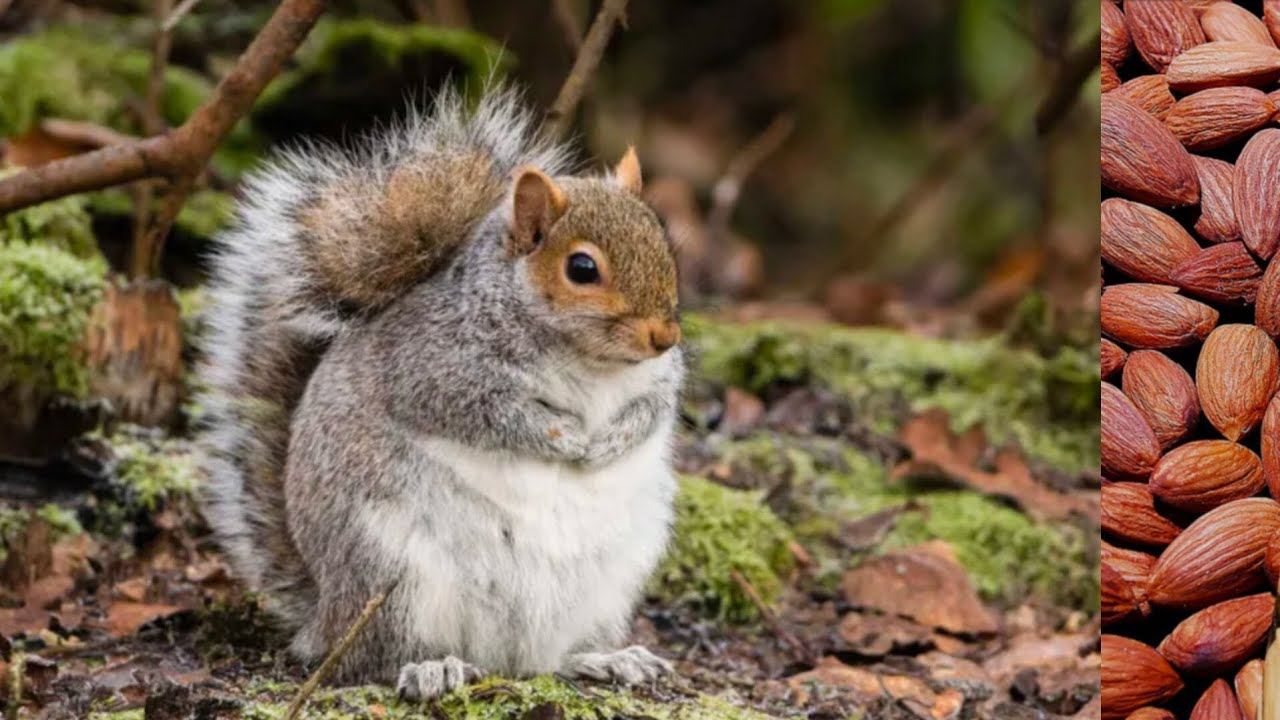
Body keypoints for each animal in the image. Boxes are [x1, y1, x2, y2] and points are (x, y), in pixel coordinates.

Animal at [197, 87, 685, 699]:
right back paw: (432, 668)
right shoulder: (432, 368)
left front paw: (612, 441)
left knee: (551, 659)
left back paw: (607, 659)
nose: (665, 337)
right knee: (376, 659)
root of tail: (325, 616)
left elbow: (653, 410)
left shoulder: (660, 379)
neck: (591, 363)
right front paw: (564, 438)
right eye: (582, 268)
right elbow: (488, 415)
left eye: (663, 241)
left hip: (607, 585)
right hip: (391, 573)